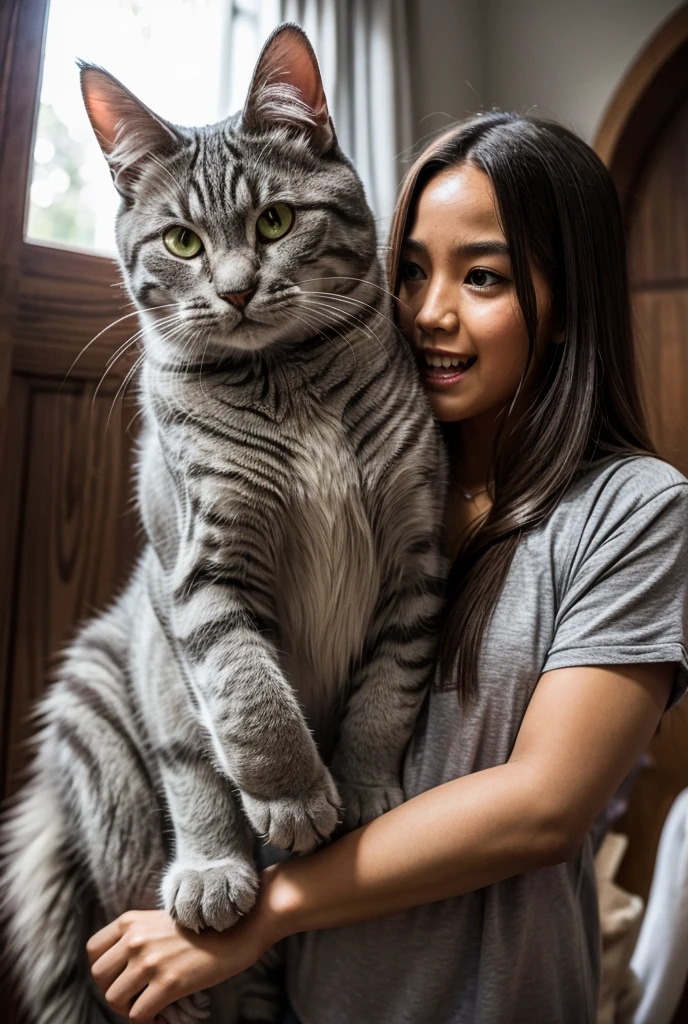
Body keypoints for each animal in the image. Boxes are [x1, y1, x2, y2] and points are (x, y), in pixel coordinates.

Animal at [0, 22, 448, 1024]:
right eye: (182, 240)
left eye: (275, 222)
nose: (239, 291)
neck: (290, 384)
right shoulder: (204, 567)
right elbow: (249, 700)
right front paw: (295, 800)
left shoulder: (415, 557)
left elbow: (385, 696)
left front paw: (364, 789)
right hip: (121, 768)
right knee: (185, 795)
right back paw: (209, 880)